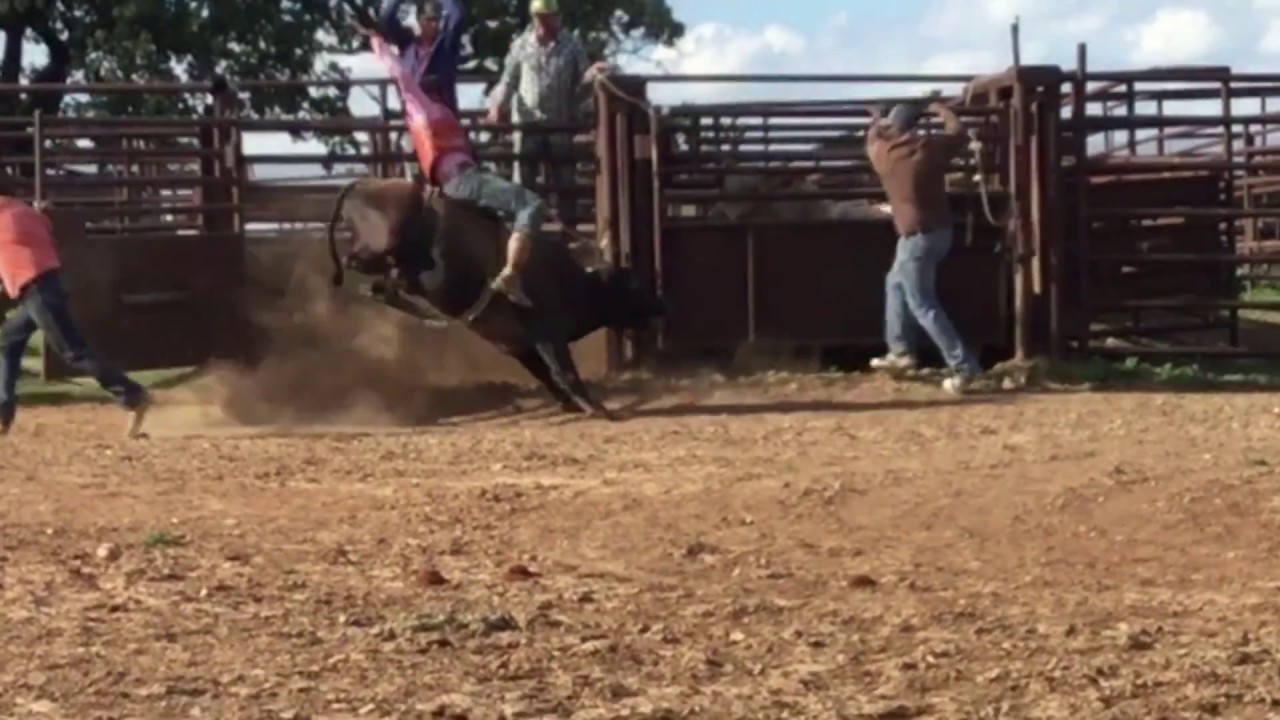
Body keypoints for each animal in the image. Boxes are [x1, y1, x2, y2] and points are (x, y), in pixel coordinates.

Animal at [330, 175, 665, 417]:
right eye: (631, 285)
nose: (661, 305)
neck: (570, 282)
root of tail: (363, 184)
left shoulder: (518, 346)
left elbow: (547, 376)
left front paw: (570, 404)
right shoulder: (548, 334)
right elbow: (564, 372)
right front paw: (597, 408)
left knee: (372, 275)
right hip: (388, 238)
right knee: (364, 261)